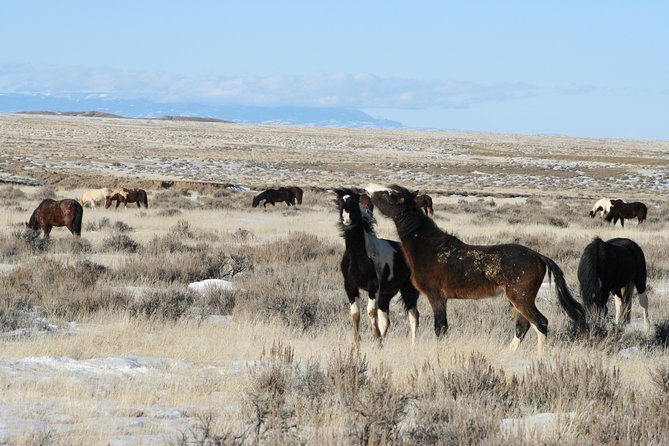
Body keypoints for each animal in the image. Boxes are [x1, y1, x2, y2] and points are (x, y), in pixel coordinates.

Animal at [334, 188, 418, 344]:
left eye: (354, 201)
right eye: (340, 202)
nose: (346, 220)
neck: (358, 256)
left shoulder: (373, 286)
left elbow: (371, 312)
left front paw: (374, 336)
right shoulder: (350, 286)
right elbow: (355, 314)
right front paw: (356, 344)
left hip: (408, 290)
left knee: (414, 318)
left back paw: (413, 346)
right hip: (387, 294)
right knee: (386, 320)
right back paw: (381, 343)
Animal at [368, 183, 588, 354]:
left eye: (389, 194)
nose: (368, 190)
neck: (429, 247)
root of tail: (539, 257)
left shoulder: (435, 296)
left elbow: (440, 328)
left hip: (521, 298)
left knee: (540, 323)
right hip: (517, 300)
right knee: (523, 326)